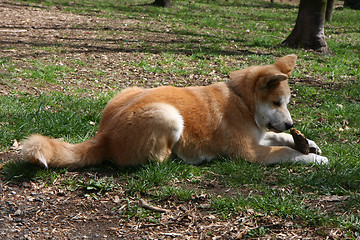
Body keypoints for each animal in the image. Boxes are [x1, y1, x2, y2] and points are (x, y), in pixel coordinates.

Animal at [21, 54, 328, 169]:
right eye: (277, 103)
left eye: (286, 103)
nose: (289, 123)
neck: (242, 101)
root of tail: (104, 135)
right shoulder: (251, 152)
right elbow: (285, 151)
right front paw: (313, 159)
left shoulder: (260, 136)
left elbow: (282, 140)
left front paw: (310, 144)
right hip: (167, 115)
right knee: (156, 160)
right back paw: (194, 157)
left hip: (131, 91)